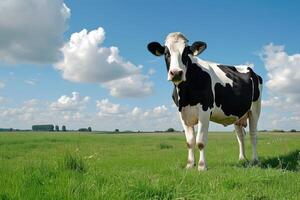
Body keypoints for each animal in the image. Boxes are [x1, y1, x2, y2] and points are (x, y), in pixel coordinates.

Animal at [148, 32, 262, 170]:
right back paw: (242, 159)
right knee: (240, 136)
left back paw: (255, 160)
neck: (185, 94)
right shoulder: (182, 113)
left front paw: (202, 166)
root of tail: (252, 71)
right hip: (238, 114)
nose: (176, 73)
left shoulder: (204, 111)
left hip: (255, 110)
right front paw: (189, 165)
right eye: (166, 53)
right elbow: (190, 142)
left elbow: (200, 141)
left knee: (253, 135)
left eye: (186, 52)